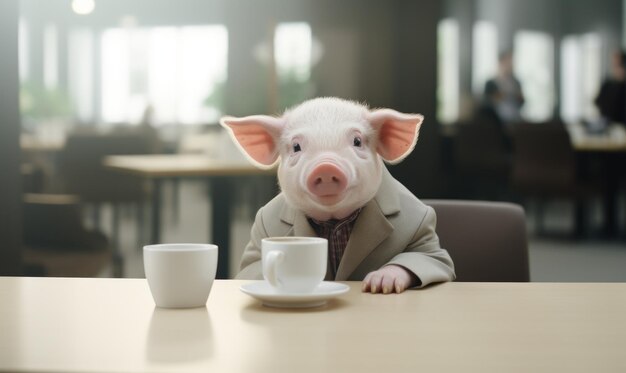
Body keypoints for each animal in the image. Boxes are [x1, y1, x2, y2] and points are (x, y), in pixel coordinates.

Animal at [219, 96, 454, 294]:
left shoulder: (423, 230)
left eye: (357, 141)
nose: (325, 167)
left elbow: (431, 257)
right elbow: (249, 267)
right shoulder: (260, 230)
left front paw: (378, 285)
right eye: (296, 146)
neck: (333, 221)